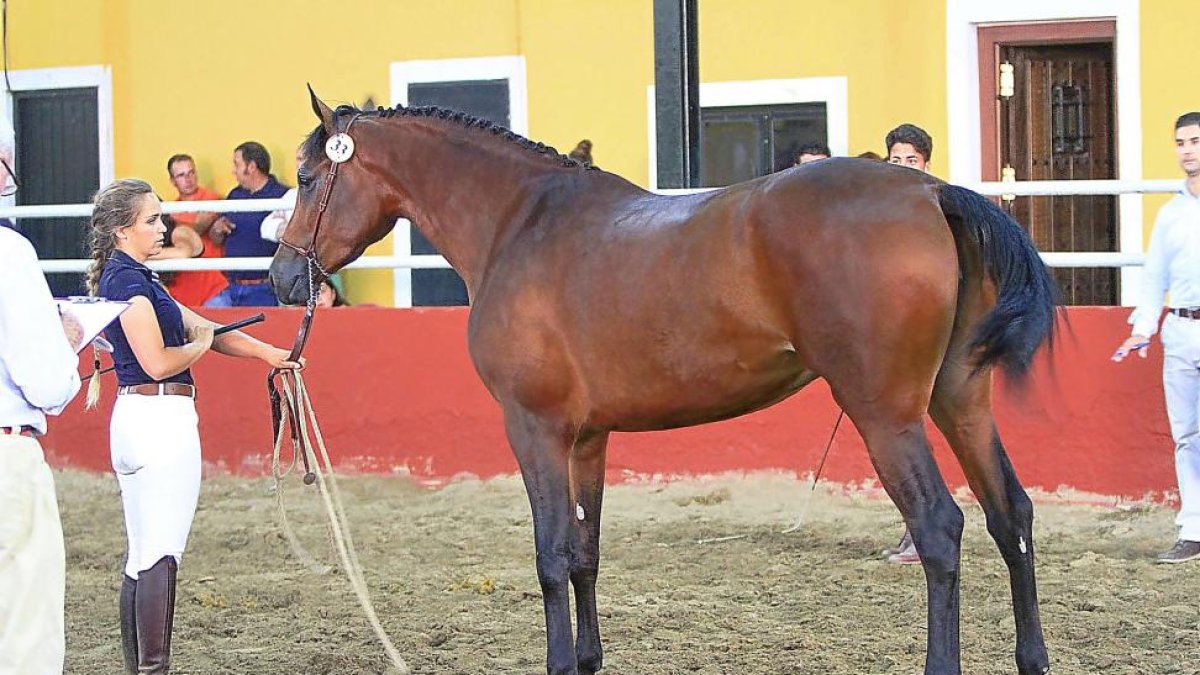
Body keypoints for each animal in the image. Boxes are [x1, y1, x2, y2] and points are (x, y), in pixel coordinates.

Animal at [269, 89, 1057, 675]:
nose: (281, 278)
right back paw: (1033, 656)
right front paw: (588, 659)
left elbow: (551, 555)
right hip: (959, 401)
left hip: (884, 414)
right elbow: (584, 553)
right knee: (1010, 514)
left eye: (306, 179)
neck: (519, 223)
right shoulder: (588, 437)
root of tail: (930, 191)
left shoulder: (535, 428)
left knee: (940, 529)